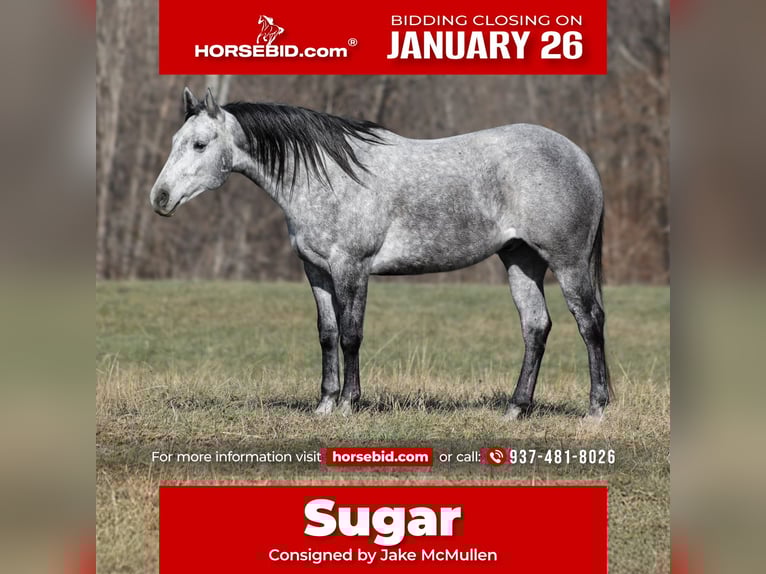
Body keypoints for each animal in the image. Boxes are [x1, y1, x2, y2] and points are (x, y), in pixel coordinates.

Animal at [150, 88, 613, 419]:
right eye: (175, 141)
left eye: (200, 144)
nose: (160, 197)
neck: (329, 176)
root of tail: (581, 158)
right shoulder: (316, 271)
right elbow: (327, 333)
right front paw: (324, 404)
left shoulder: (351, 268)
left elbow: (351, 334)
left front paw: (349, 403)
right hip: (520, 258)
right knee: (536, 327)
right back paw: (516, 408)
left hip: (567, 261)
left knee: (589, 322)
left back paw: (596, 408)